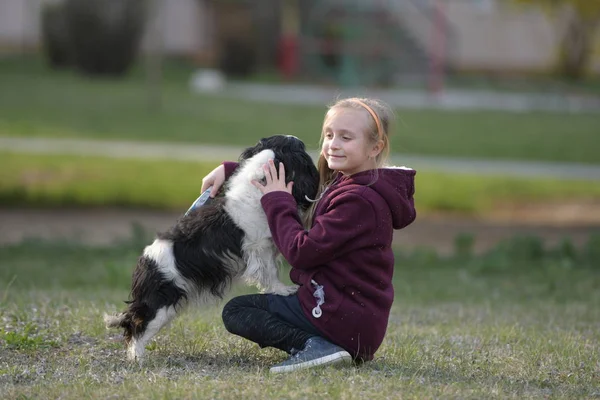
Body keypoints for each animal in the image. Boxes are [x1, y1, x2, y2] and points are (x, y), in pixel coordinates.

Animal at [104, 136, 318, 360]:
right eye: (300, 147)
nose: (299, 138)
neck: (259, 188)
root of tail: (143, 263)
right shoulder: (259, 248)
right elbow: (270, 273)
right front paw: (283, 290)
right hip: (159, 304)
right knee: (137, 326)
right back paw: (137, 358)